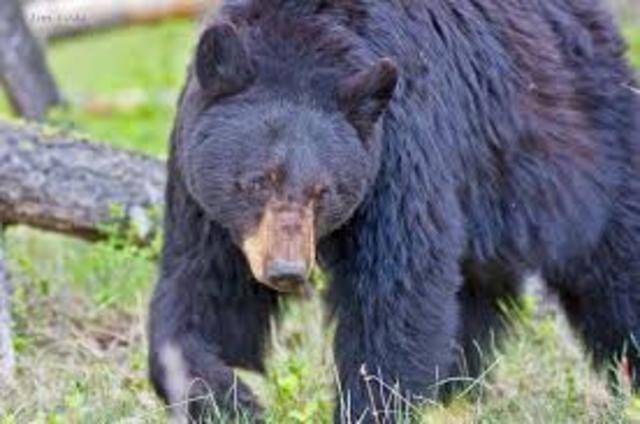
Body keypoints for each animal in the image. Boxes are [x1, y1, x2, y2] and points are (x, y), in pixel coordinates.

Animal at [148, 0, 640, 422]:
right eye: (257, 181)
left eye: (323, 191)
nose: (286, 270)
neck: (303, 39)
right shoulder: (205, 199)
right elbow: (205, 295)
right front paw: (230, 398)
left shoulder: (399, 152)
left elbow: (398, 290)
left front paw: (373, 407)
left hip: (585, 154)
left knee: (616, 273)